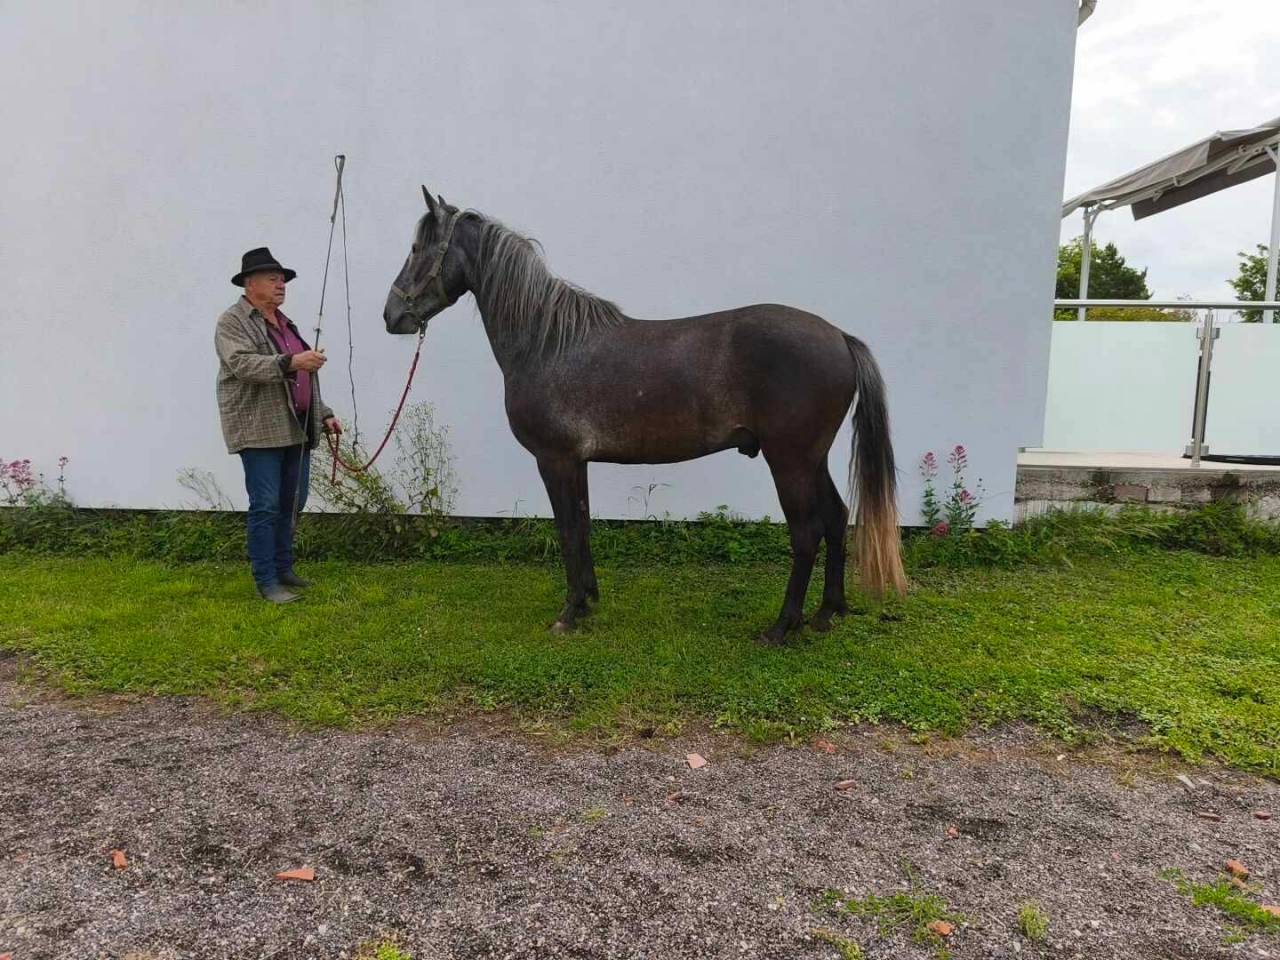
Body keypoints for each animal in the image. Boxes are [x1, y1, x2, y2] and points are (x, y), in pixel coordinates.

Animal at [383, 186, 906, 644]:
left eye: (416, 247)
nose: (392, 316)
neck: (548, 343)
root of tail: (839, 337)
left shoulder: (554, 460)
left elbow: (567, 531)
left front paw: (569, 613)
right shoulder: (577, 463)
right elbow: (582, 525)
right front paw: (588, 602)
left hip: (790, 461)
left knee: (807, 533)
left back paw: (782, 627)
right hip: (813, 459)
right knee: (837, 520)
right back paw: (827, 613)